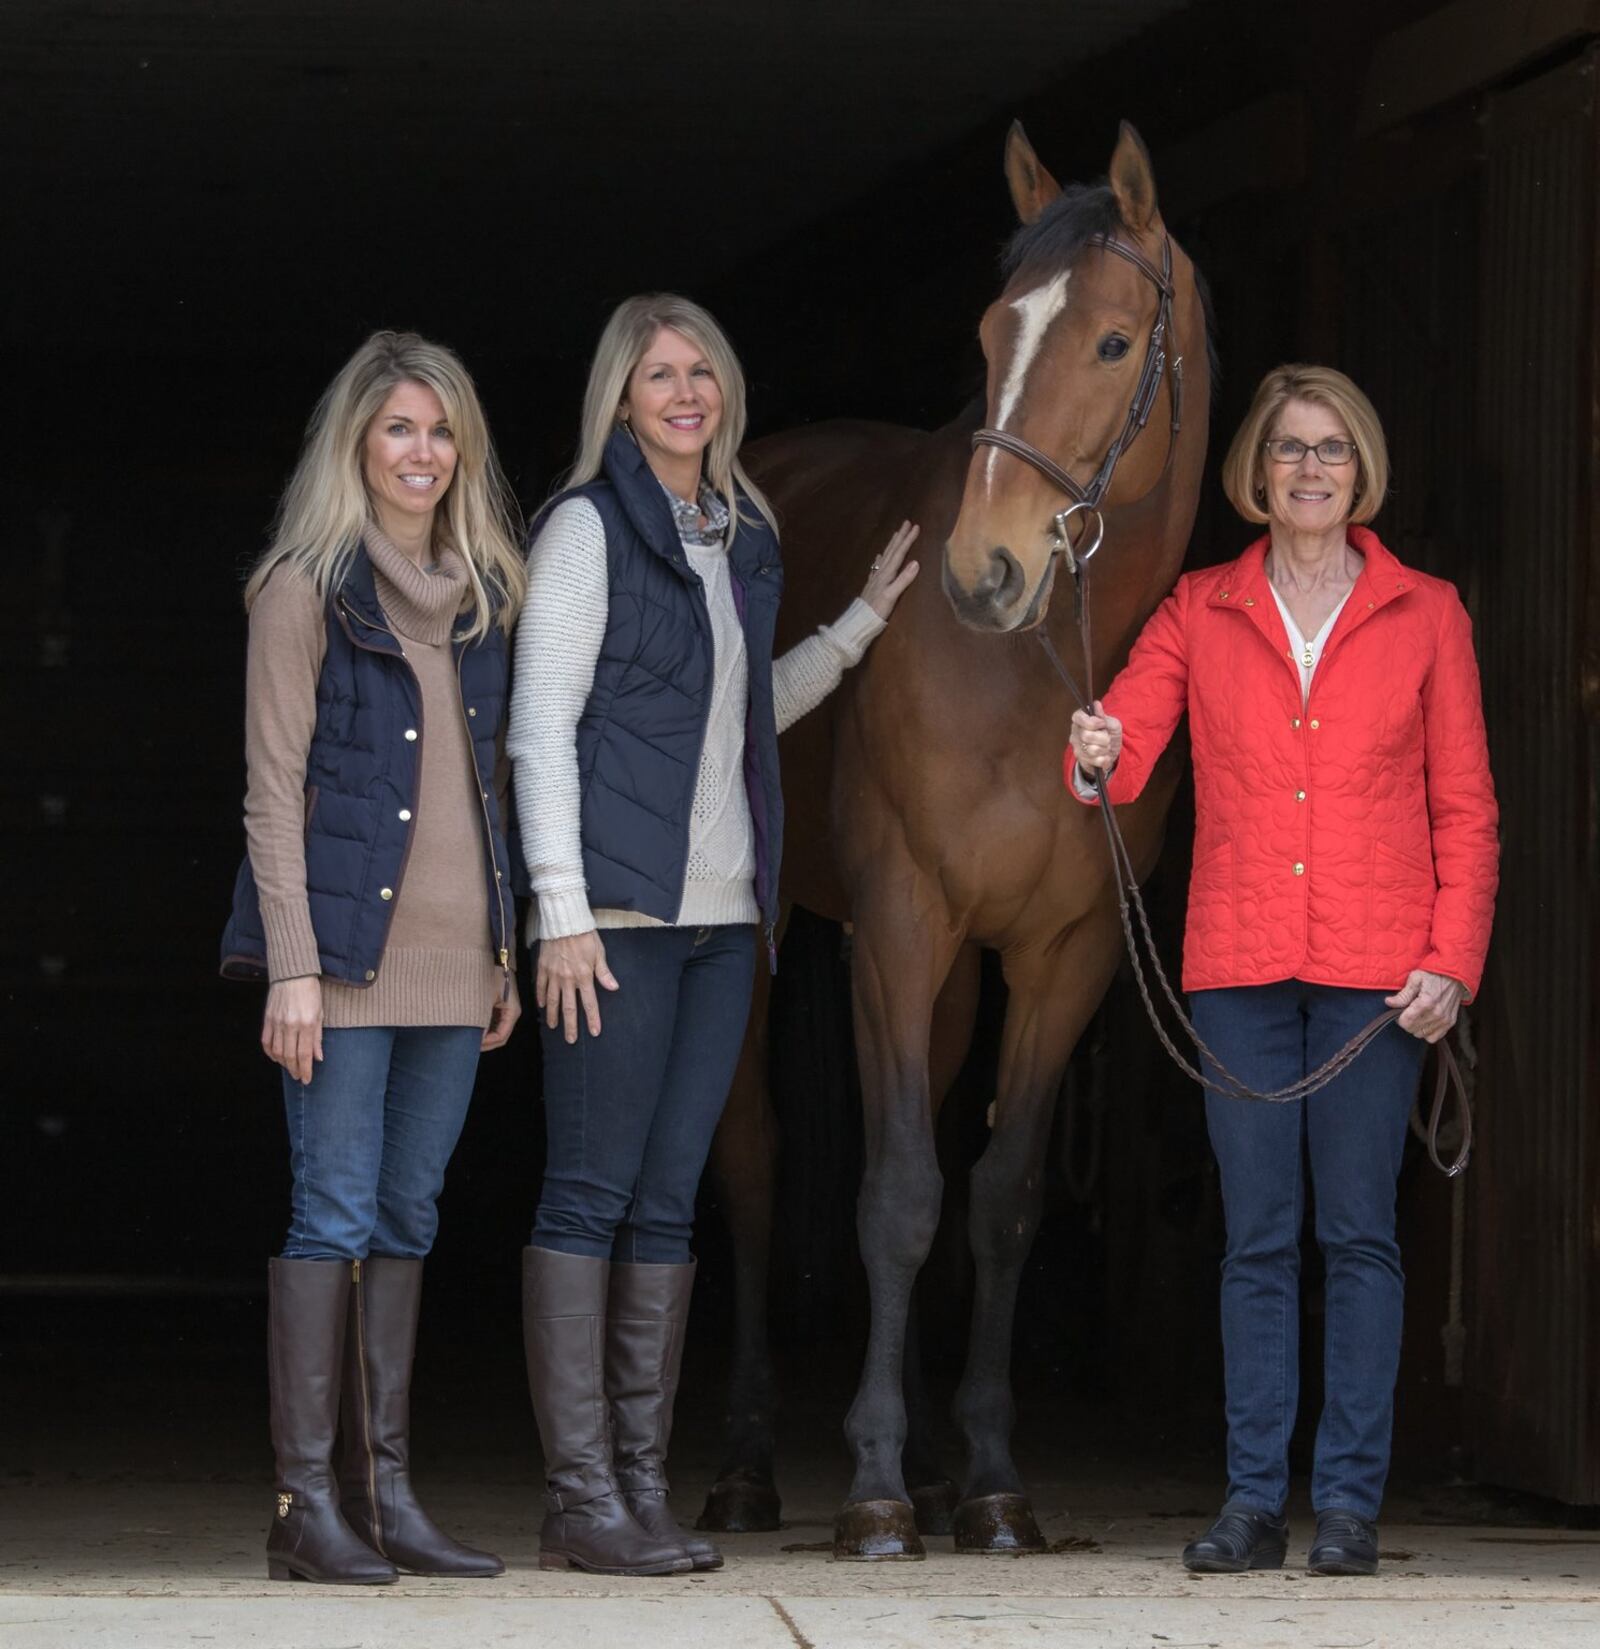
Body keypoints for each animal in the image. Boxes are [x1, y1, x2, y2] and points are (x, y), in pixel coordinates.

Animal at [699, 122, 1207, 1550]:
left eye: (1111, 342)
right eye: (987, 334)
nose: (983, 570)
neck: (1035, 671)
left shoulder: (1063, 954)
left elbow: (999, 1199)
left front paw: (986, 1475)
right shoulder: (901, 918)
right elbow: (895, 1195)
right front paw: (871, 1485)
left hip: (956, 974)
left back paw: (928, 1457)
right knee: (755, 1169)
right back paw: (752, 1460)